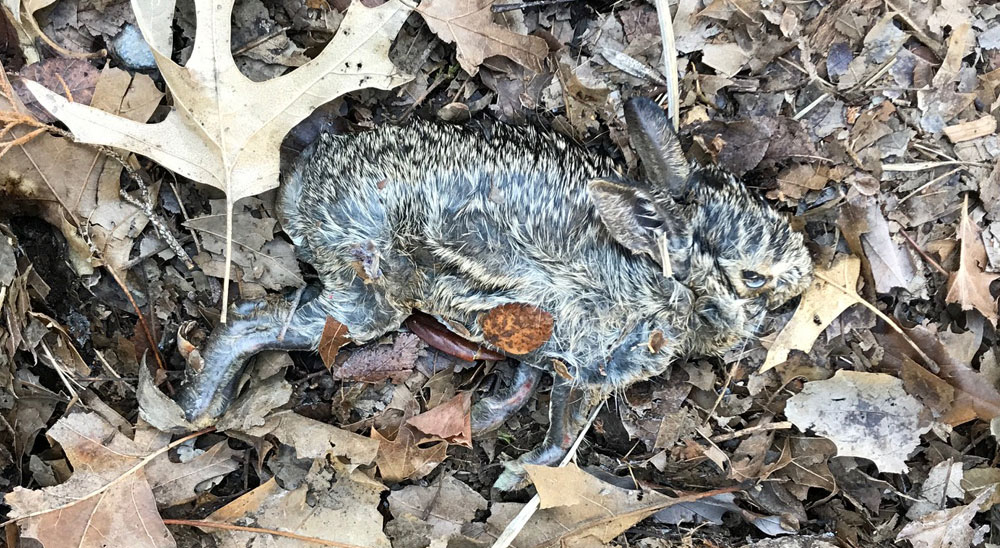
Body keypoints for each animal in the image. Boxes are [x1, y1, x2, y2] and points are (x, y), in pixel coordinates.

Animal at [175, 97, 813, 490]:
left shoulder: (552, 353)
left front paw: (483, 417)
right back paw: (198, 407)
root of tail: (300, 188)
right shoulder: (587, 365)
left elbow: (526, 386)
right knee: (255, 324)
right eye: (754, 276)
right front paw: (514, 472)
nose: (806, 276)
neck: (665, 282)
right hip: (370, 295)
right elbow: (559, 437)